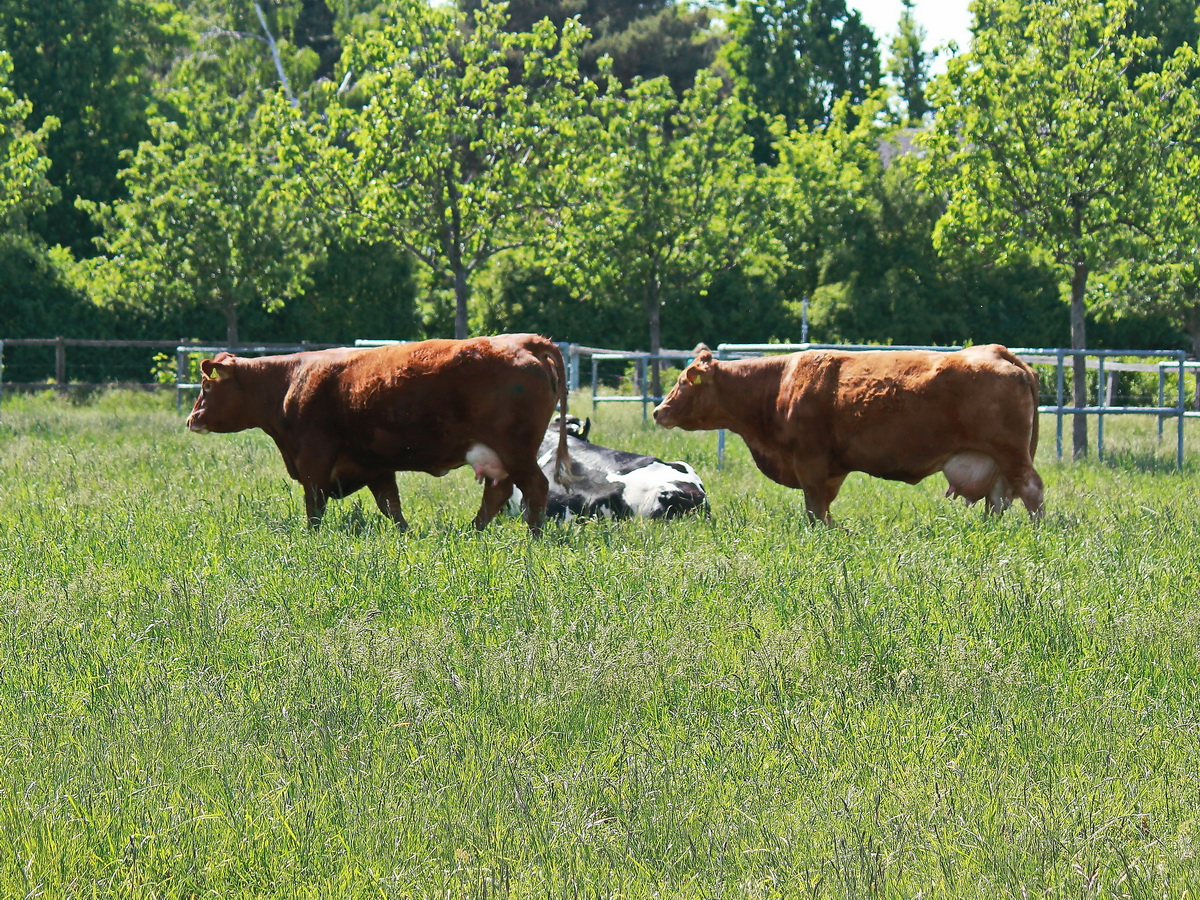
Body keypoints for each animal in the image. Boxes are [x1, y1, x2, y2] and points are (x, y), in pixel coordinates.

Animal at [186, 336, 571, 535]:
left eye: (206, 387)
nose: (192, 419)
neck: (289, 380)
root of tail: (523, 341)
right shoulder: (376, 466)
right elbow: (391, 506)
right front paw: (405, 534)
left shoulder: (313, 459)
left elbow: (314, 505)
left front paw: (311, 537)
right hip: (499, 456)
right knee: (497, 493)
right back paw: (472, 531)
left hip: (515, 451)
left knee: (534, 487)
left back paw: (533, 535)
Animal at [652, 348, 1046, 528]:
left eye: (684, 381)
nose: (658, 411)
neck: (779, 384)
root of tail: (997, 351)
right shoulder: (832, 468)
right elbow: (823, 505)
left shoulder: (809, 459)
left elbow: (814, 505)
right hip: (995, 460)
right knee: (997, 499)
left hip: (1011, 453)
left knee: (1031, 490)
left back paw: (1035, 529)